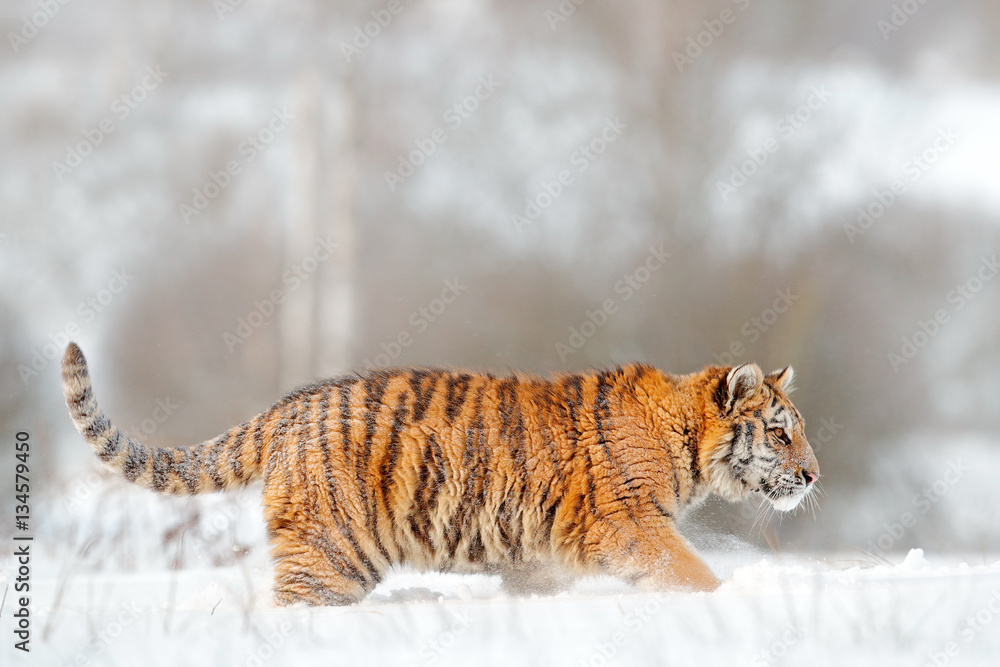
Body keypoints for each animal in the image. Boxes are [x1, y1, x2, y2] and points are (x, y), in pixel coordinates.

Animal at [61, 342, 819, 606]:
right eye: (781, 432)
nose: (814, 476)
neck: (685, 441)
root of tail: (287, 407)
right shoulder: (629, 523)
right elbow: (686, 570)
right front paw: (725, 599)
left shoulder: (541, 547)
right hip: (332, 552)